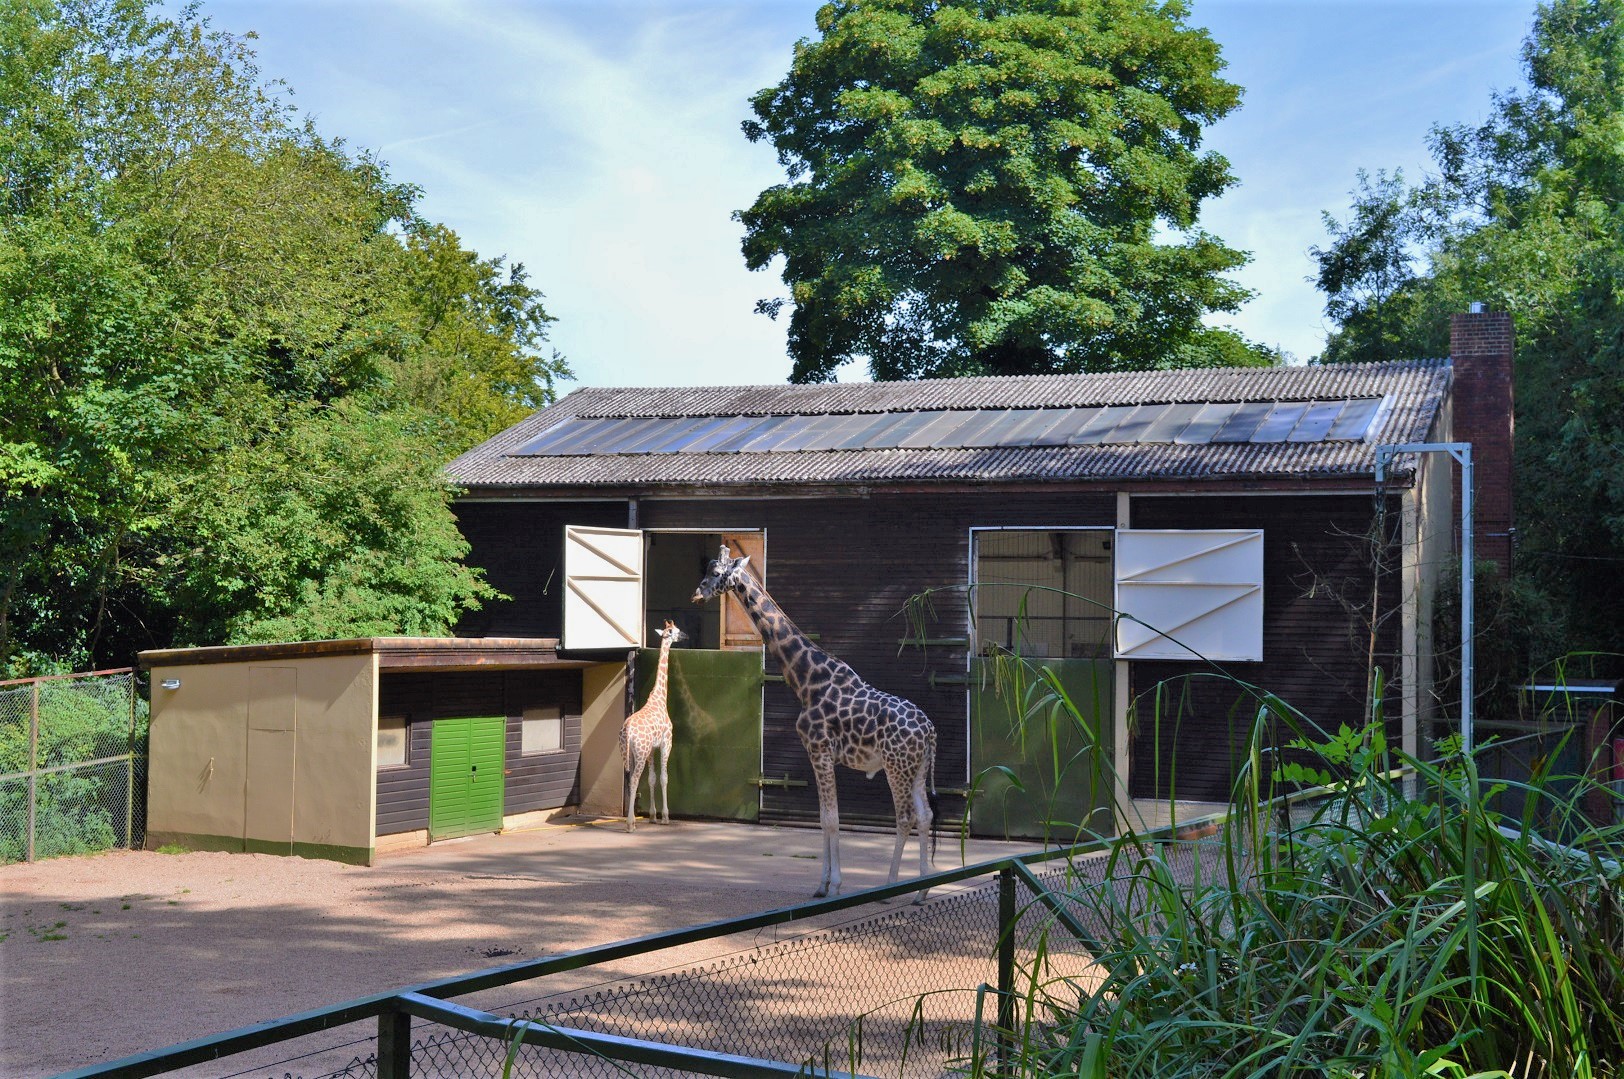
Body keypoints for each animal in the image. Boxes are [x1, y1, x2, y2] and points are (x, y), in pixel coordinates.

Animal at [621, 620, 685, 832]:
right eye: (676, 631)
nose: (685, 636)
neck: (659, 698)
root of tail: (628, 731)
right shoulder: (666, 743)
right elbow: (664, 777)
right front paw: (665, 816)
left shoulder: (651, 749)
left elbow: (652, 778)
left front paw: (652, 816)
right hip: (639, 752)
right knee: (634, 779)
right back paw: (630, 824)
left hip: (627, 752)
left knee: (629, 779)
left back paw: (632, 820)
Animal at [692, 546, 937, 901]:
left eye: (715, 573)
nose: (696, 594)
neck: (807, 680)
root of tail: (930, 731)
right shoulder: (820, 756)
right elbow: (823, 818)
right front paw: (823, 884)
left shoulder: (819, 750)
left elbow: (832, 819)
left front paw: (832, 885)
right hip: (917, 768)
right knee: (925, 815)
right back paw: (920, 891)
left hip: (896, 766)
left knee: (905, 817)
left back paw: (891, 885)